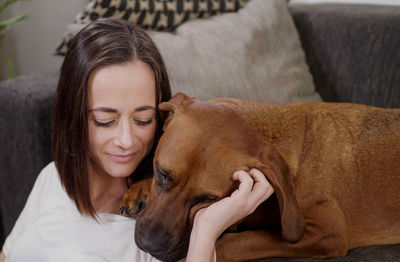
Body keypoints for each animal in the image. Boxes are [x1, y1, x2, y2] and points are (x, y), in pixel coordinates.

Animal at [119, 91, 400, 260]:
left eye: (208, 200)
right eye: (161, 172)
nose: (149, 245)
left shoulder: (327, 232)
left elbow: (234, 242)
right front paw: (140, 189)